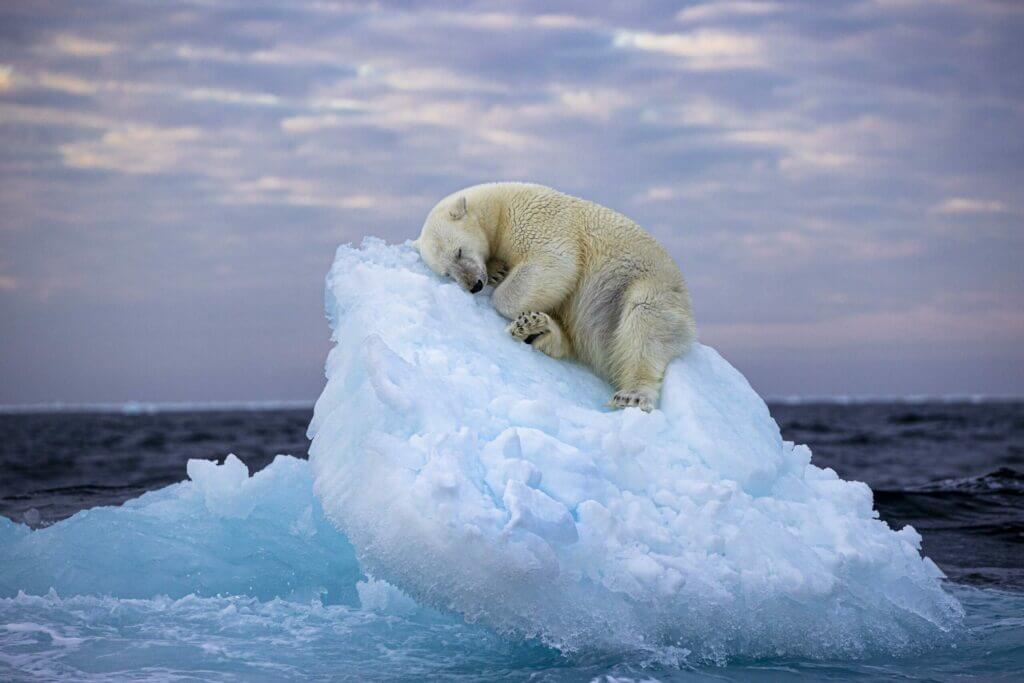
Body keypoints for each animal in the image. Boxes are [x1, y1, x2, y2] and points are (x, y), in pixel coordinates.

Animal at [413, 181, 696, 411]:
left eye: (459, 251)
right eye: (447, 272)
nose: (474, 285)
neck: (498, 206)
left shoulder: (535, 219)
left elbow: (554, 262)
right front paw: (497, 270)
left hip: (647, 286)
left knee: (644, 323)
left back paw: (632, 395)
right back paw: (536, 329)